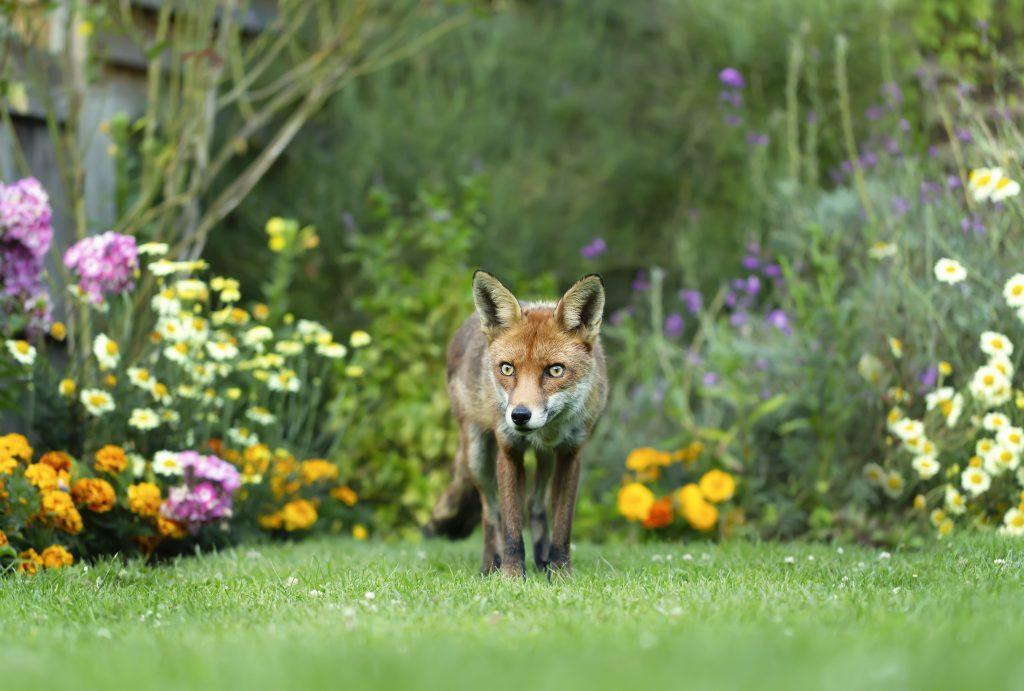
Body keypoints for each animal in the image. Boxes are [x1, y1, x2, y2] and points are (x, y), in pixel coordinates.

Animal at [423, 270, 608, 578]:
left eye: (555, 370)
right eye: (507, 369)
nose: (520, 415)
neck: (547, 431)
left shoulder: (571, 452)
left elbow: (562, 523)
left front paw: (560, 572)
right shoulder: (508, 448)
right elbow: (510, 524)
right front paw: (511, 575)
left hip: (545, 459)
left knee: (535, 504)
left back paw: (542, 560)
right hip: (477, 454)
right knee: (490, 512)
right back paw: (490, 565)